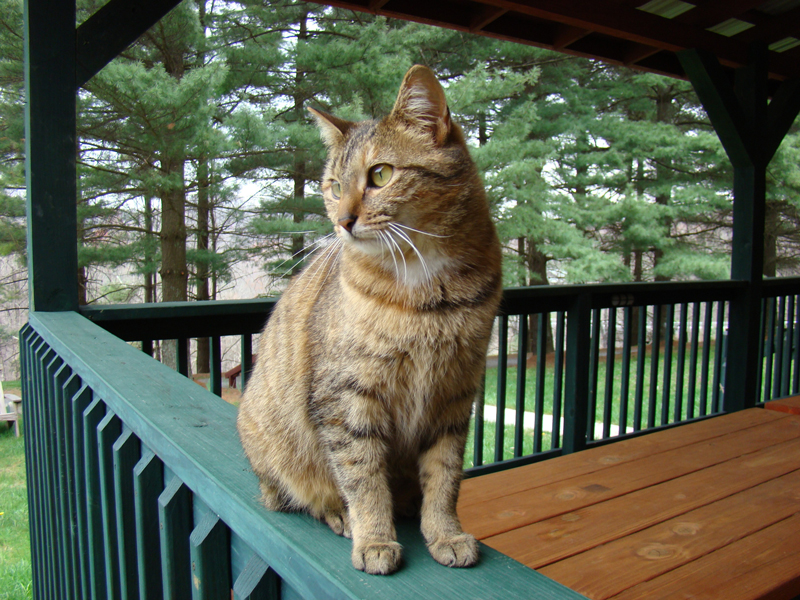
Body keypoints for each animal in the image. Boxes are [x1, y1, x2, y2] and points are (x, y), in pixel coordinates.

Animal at [234, 63, 504, 576]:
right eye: (334, 186)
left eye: (381, 174)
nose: (342, 221)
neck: (424, 288)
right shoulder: (346, 400)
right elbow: (362, 477)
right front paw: (375, 537)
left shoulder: (455, 394)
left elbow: (445, 477)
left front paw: (444, 531)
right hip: (272, 444)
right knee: (296, 494)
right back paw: (338, 513)